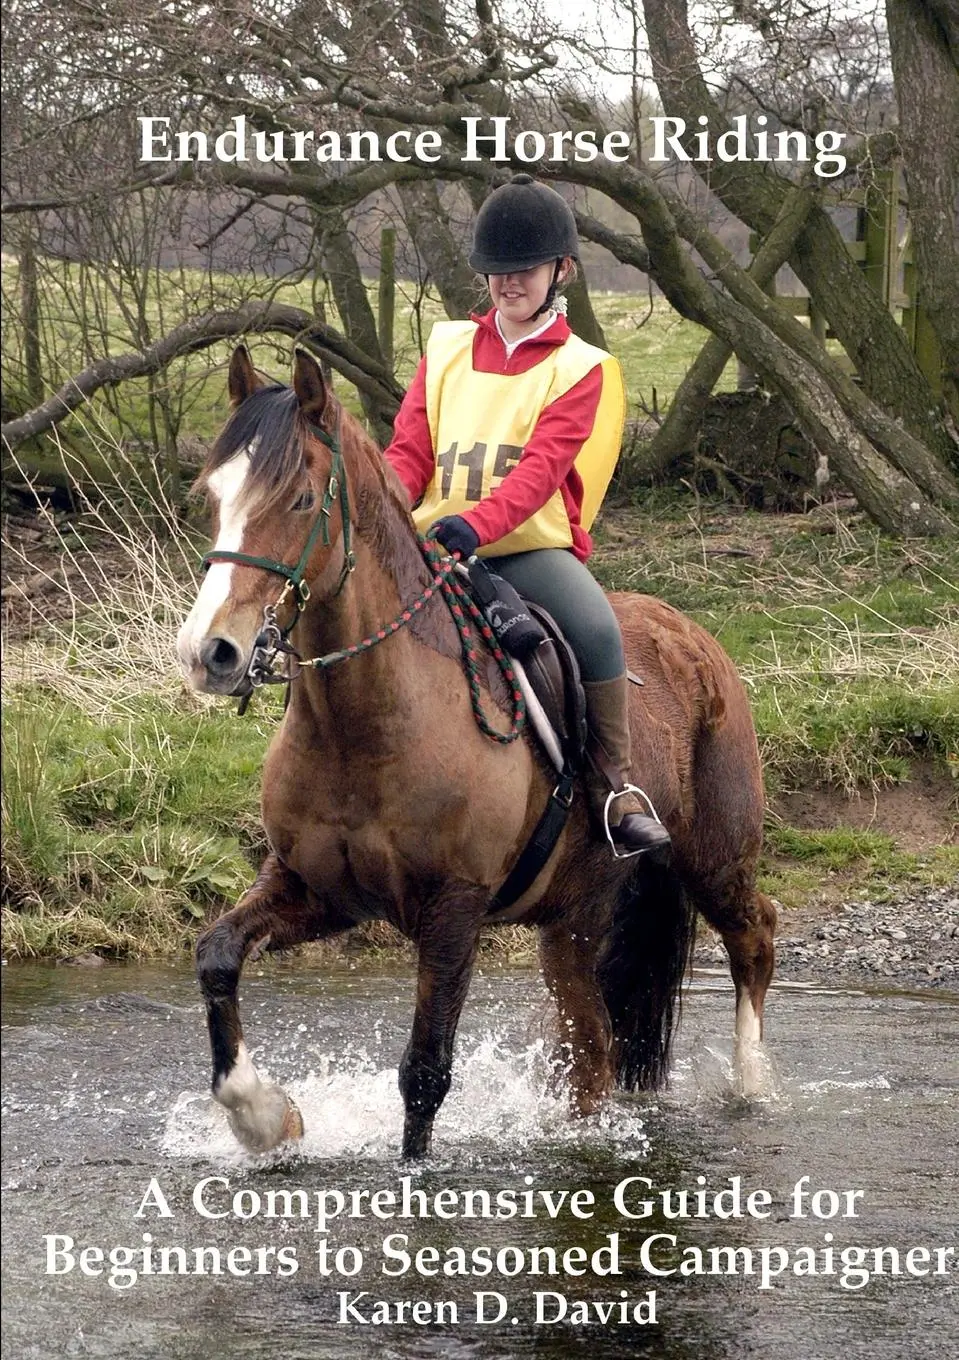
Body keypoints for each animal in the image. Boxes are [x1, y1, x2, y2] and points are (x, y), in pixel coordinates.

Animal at [176, 345, 776, 1160]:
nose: (210, 653)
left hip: (712, 856)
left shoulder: (453, 911)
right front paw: (266, 1117)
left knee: (754, 937)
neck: (363, 725)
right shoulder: (315, 893)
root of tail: (691, 634)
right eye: (212, 497)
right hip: (572, 921)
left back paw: (753, 1089)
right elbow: (216, 955)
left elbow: (425, 1070)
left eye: (300, 501)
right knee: (592, 1047)